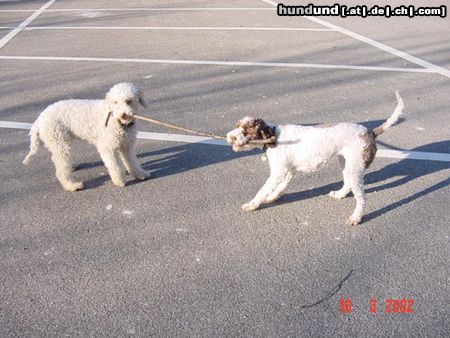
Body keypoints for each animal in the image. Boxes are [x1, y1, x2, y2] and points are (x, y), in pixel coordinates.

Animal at [227, 91, 406, 226]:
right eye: (237, 126)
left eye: (247, 130)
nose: (230, 137)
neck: (273, 136)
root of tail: (370, 132)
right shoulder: (288, 170)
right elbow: (282, 186)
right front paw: (273, 197)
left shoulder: (278, 172)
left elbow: (263, 189)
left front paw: (252, 204)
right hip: (346, 163)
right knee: (348, 183)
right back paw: (339, 194)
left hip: (355, 166)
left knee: (361, 198)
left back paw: (356, 217)